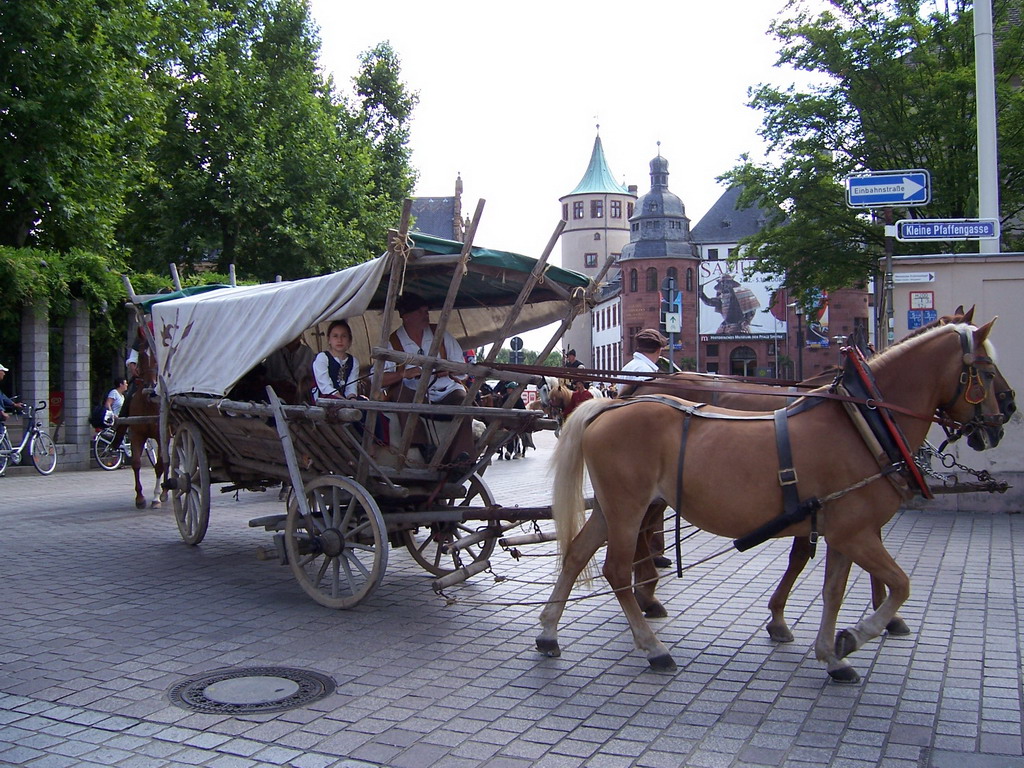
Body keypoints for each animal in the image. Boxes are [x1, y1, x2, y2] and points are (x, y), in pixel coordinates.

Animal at [538, 320, 1008, 683]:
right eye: (985, 372)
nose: (1001, 422)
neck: (863, 424)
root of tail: (609, 407)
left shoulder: (844, 533)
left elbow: (833, 590)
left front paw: (831, 653)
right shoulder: (856, 533)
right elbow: (900, 584)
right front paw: (856, 634)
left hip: (612, 508)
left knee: (577, 554)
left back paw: (548, 632)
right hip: (628, 507)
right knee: (617, 569)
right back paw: (653, 646)